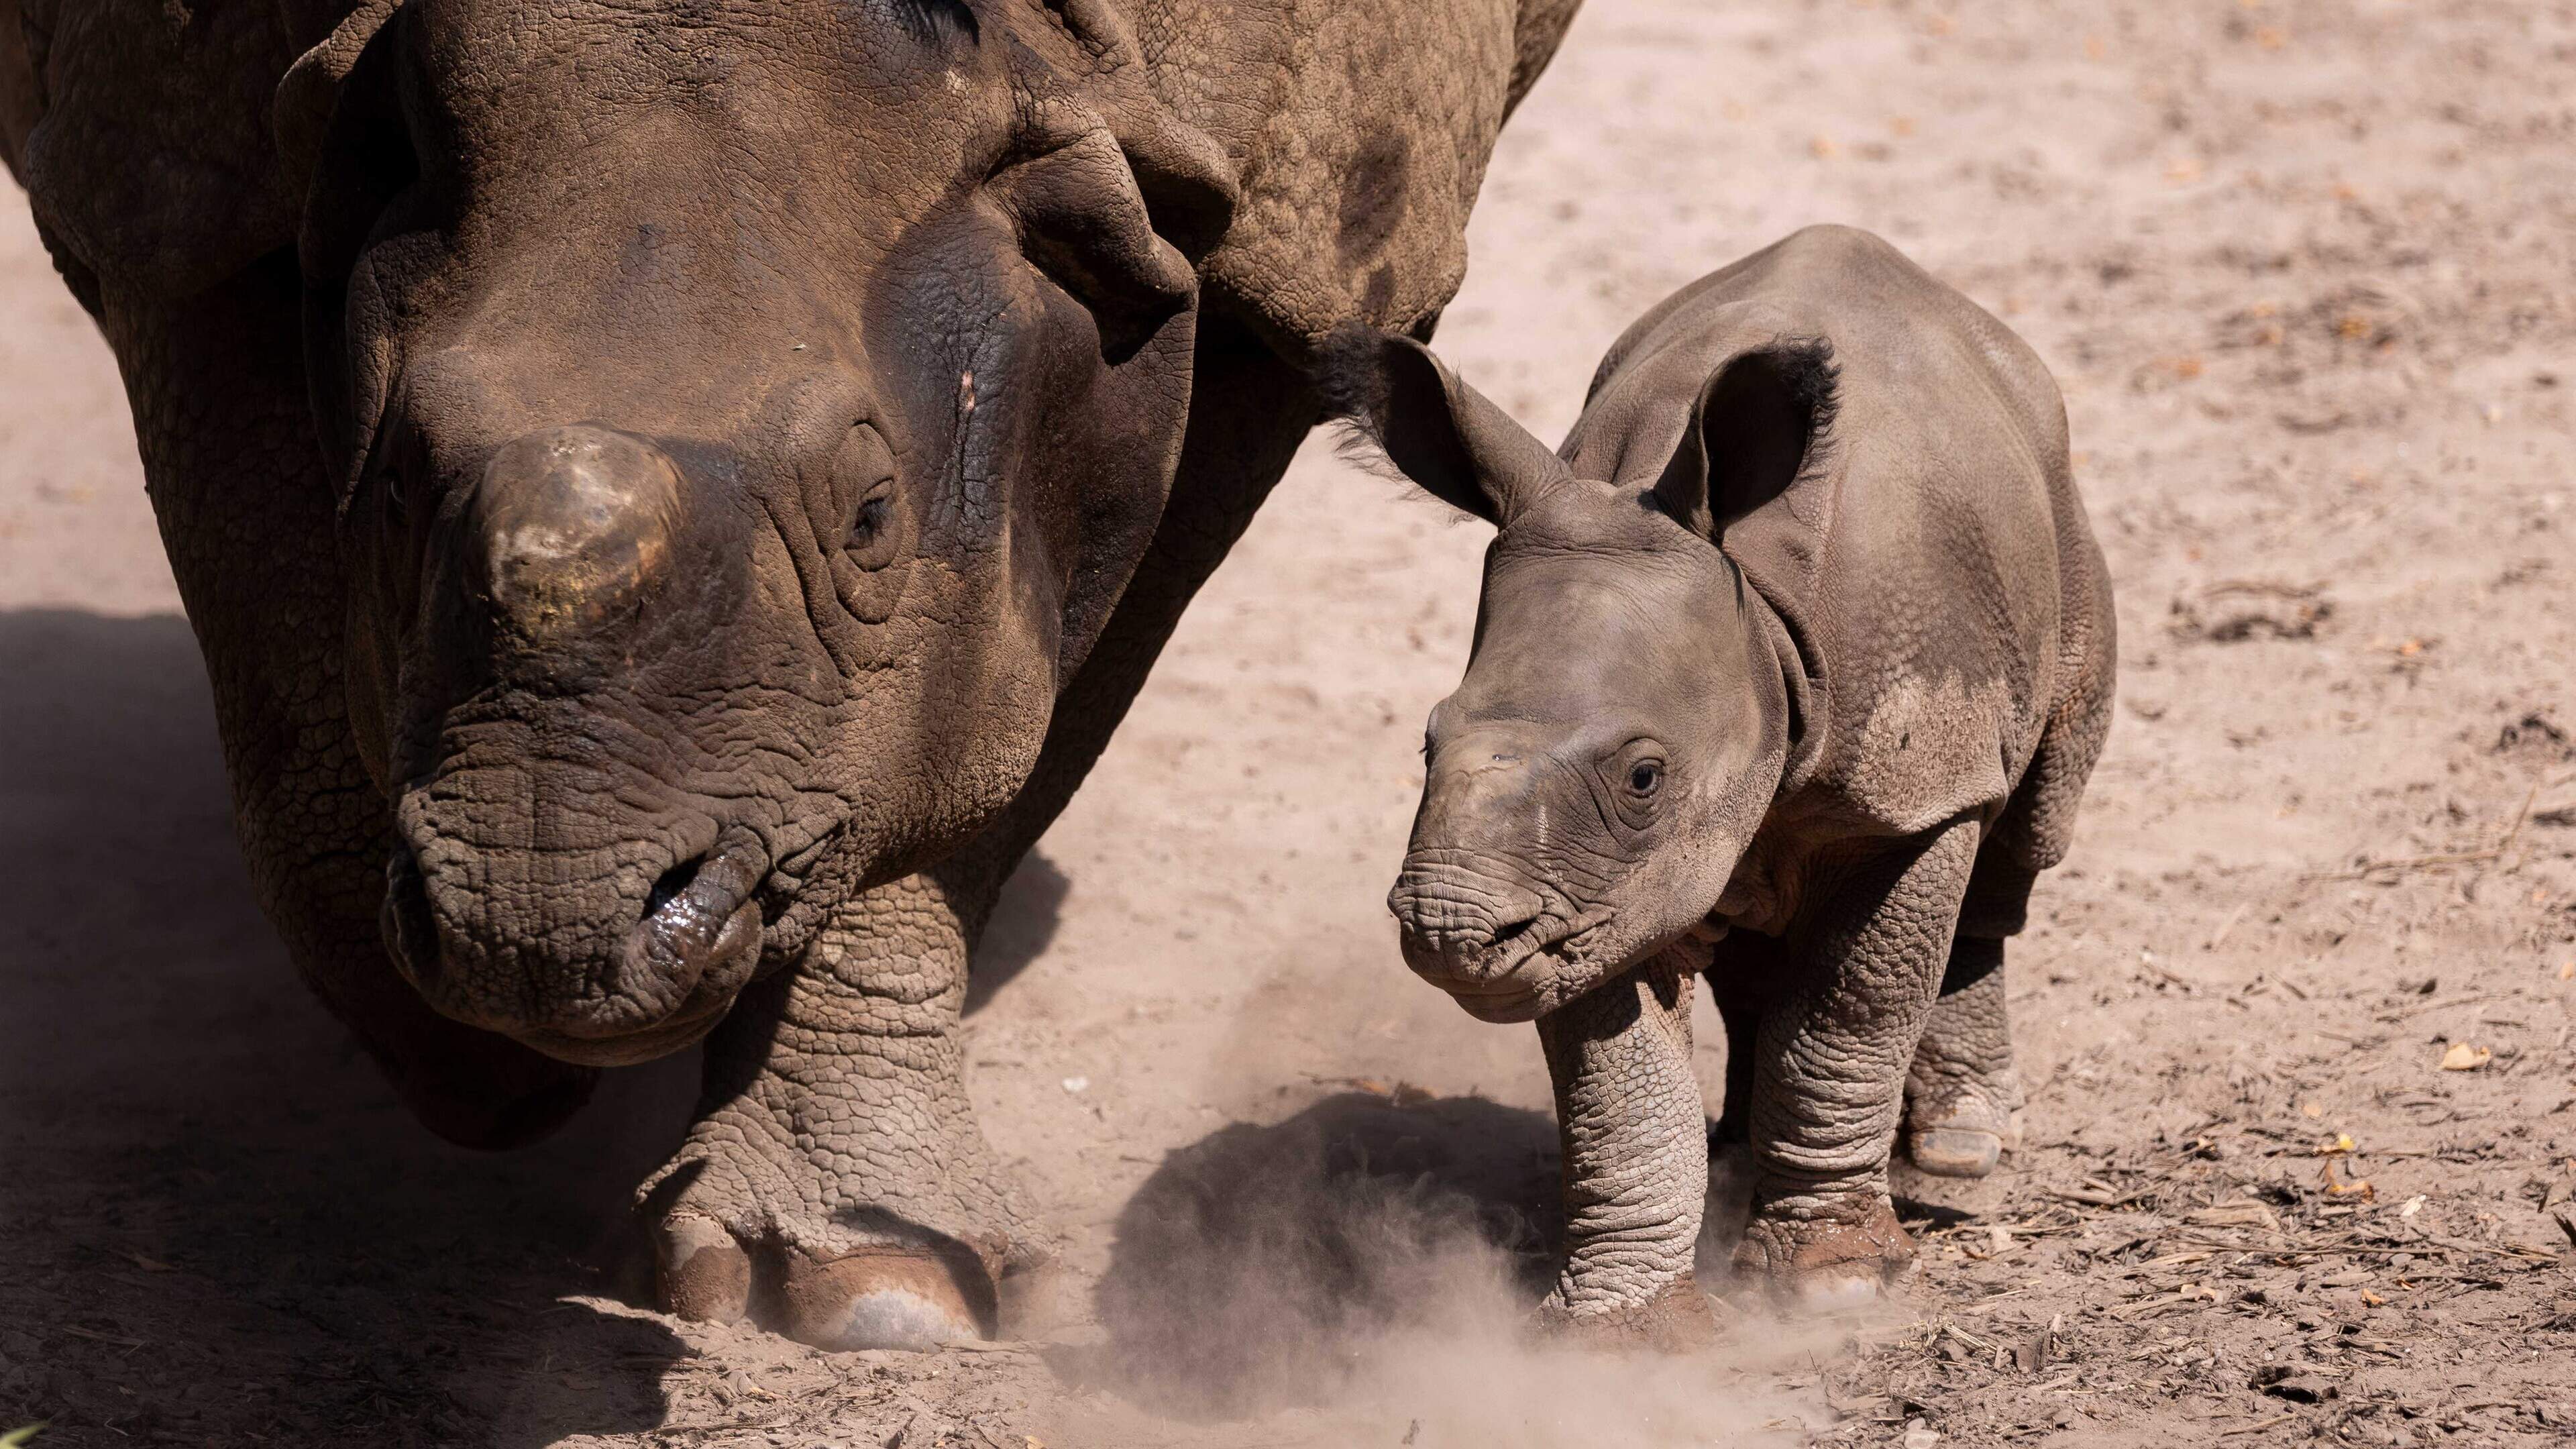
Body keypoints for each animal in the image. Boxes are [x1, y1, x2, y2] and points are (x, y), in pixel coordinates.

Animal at [1, 0, 1582, 1348]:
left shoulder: (1291, 260)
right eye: (390, 484)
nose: (537, 930)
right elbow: (287, 691)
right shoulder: (162, 179)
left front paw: (873, 1286)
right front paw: (490, 1064)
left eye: (875, 518)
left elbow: (973, 761)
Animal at [1326, 225, 2115, 1337]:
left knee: (2027, 828)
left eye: (1645, 775)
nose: (1450, 932)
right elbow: (1619, 1088)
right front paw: (1617, 1336)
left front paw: (1833, 1286)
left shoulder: (1910, 791)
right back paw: (1741, 1155)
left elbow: (1849, 1018)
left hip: (2056, 534)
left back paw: (1960, 1146)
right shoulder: (1590, 893)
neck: (1761, 619)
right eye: (1428, 743)